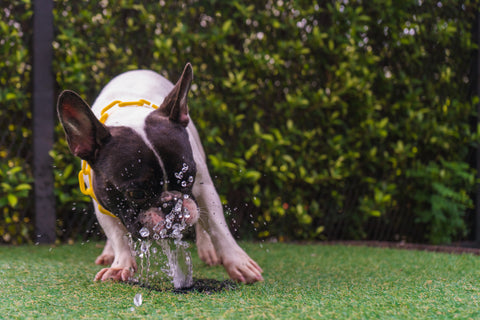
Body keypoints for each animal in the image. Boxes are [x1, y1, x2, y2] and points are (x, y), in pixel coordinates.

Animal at [58, 63, 264, 284]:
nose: (171, 203)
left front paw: (238, 263)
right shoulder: (101, 200)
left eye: (187, 179)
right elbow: (117, 235)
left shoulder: (204, 186)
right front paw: (120, 265)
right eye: (136, 194)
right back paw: (108, 253)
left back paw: (207, 249)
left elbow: (217, 227)